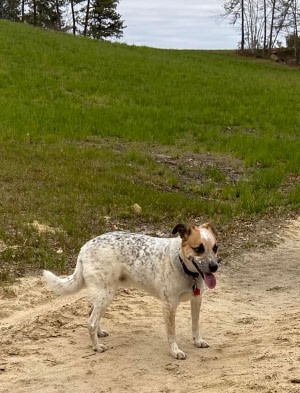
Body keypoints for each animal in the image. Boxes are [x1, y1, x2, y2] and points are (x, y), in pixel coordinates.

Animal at [43, 222, 218, 356]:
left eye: (215, 248)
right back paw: (96, 346)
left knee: (91, 314)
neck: (182, 264)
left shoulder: (197, 300)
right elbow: (171, 333)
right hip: (106, 294)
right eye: (198, 249)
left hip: (102, 294)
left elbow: (195, 325)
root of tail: (84, 248)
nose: (215, 267)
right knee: (91, 321)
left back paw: (99, 334)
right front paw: (175, 351)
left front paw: (198, 341)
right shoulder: (169, 306)